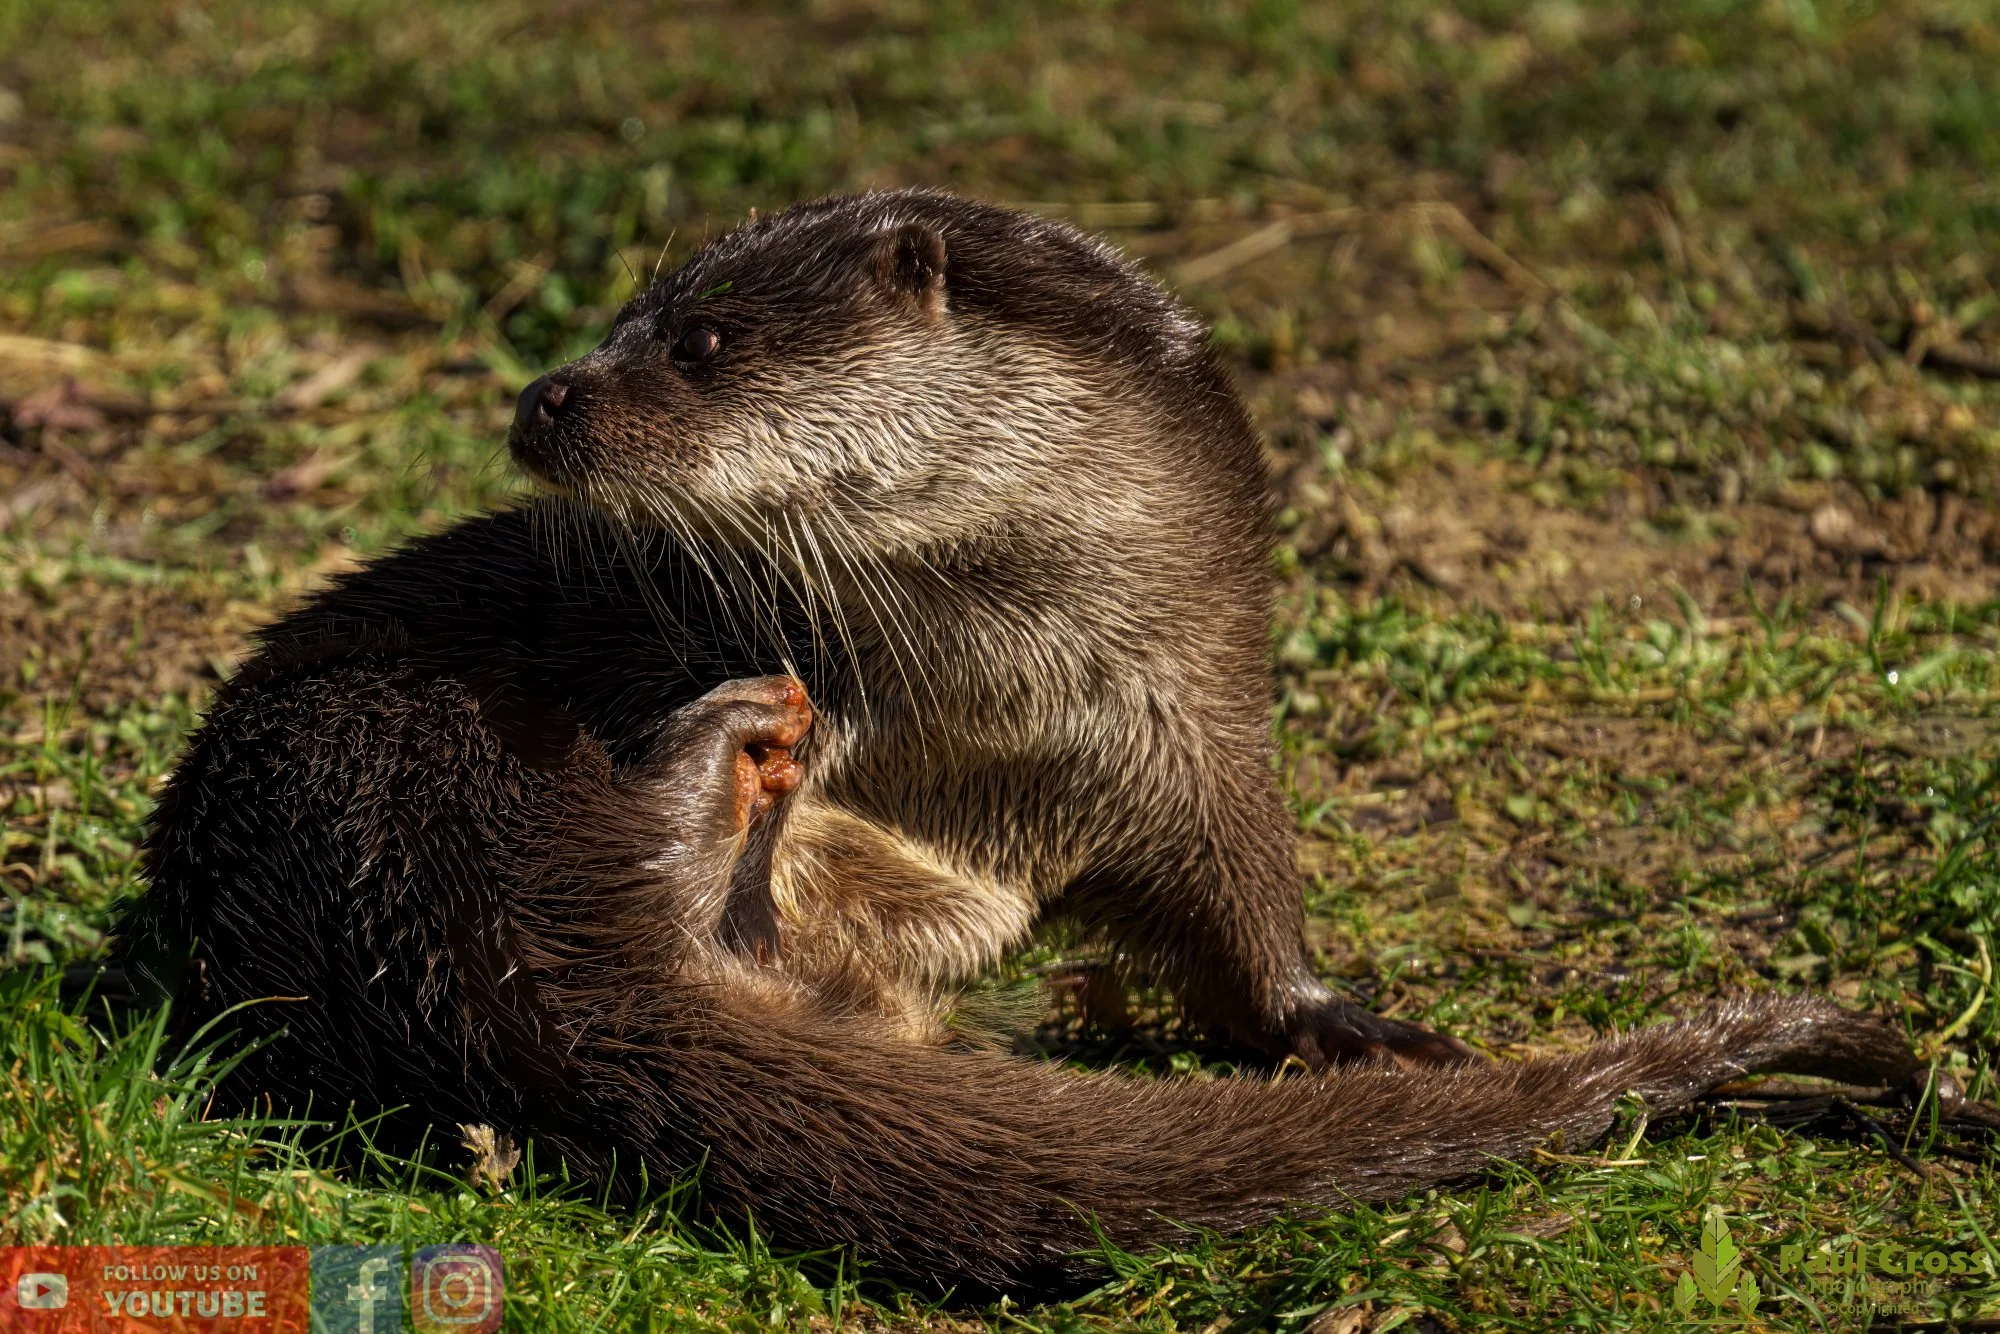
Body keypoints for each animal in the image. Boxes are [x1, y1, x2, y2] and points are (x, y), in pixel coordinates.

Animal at [126, 189, 1918, 1294]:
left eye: (700, 342)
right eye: (622, 318)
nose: (542, 397)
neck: (1001, 703)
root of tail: (461, 952)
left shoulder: (1200, 730)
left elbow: (1251, 939)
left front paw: (1362, 1030)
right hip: (403, 753)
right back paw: (732, 763)